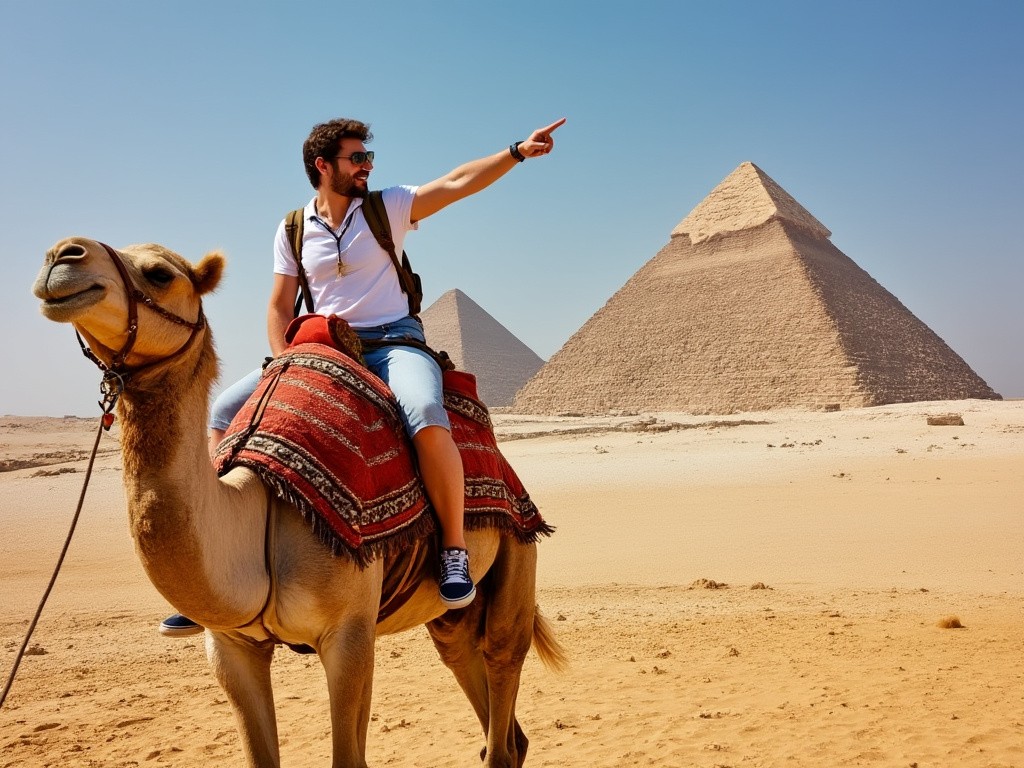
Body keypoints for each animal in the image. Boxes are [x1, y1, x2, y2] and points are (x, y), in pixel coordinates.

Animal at [32, 239, 565, 768]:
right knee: (466, 665)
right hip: (446, 617)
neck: (260, 509)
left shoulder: (349, 636)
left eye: (160, 274)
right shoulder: (229, 645)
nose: (61, 255)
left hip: (517, 553)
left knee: (501, 661)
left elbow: (348, 757)